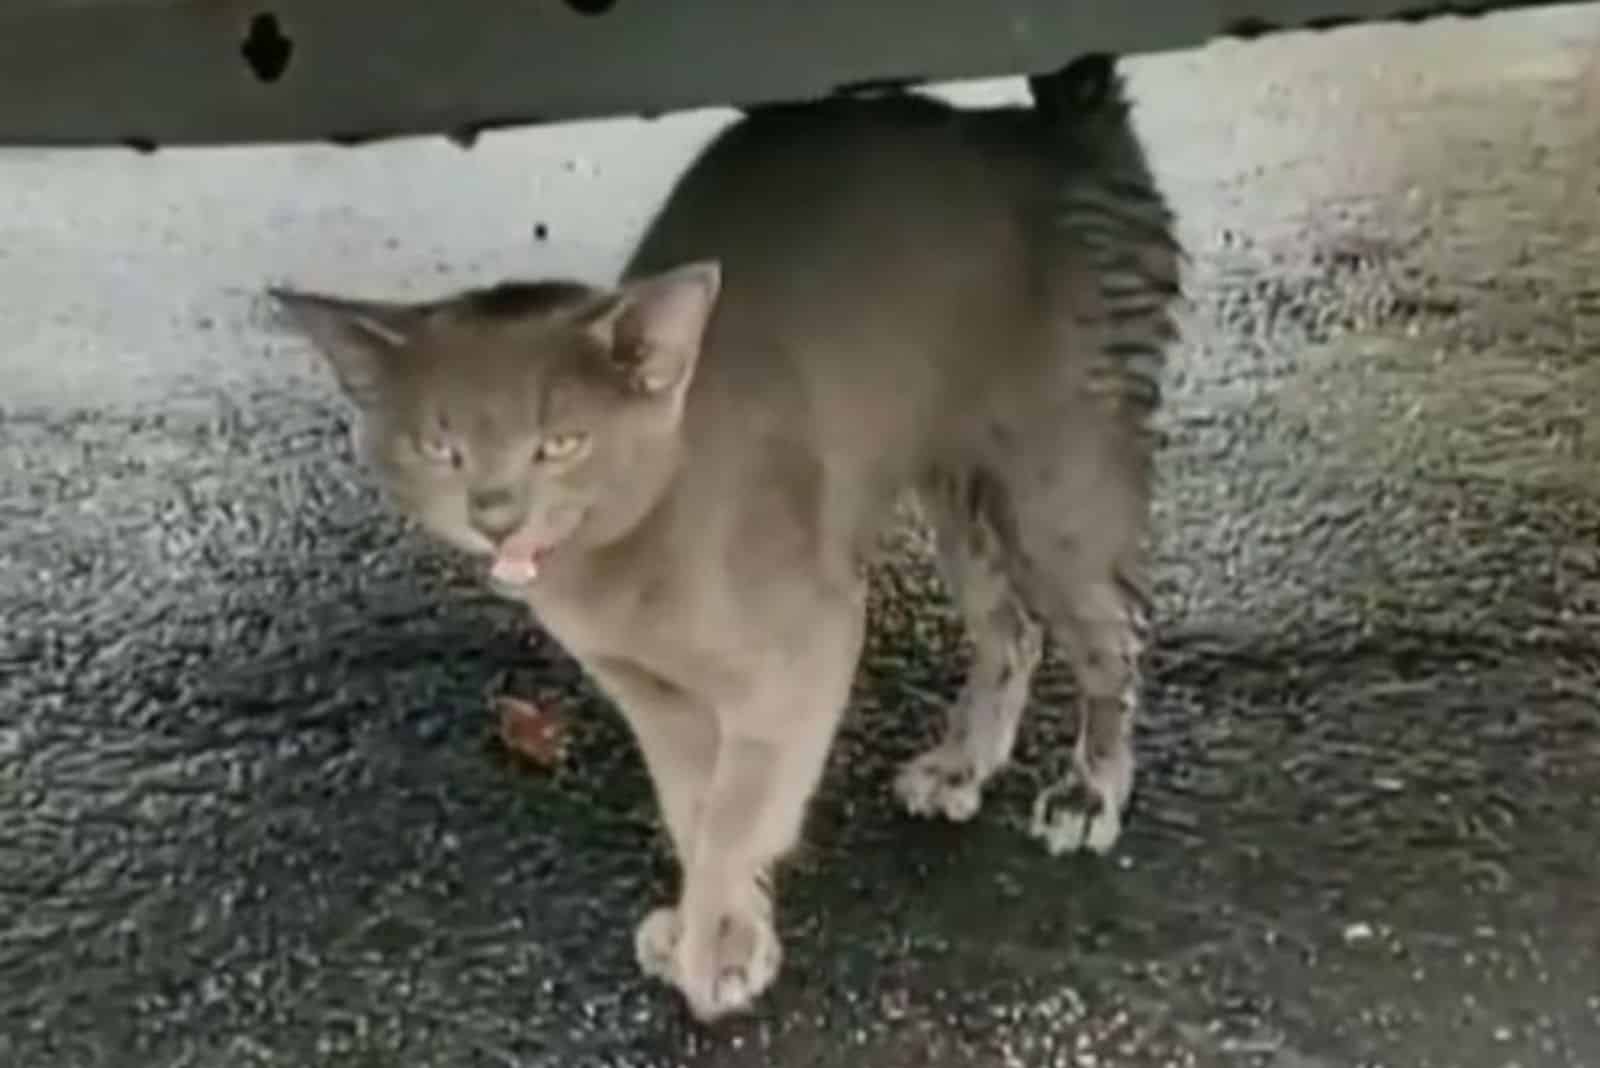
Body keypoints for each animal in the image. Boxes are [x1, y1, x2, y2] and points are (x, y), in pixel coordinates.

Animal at [272, 54, 1177, 1023]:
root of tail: (1053, 131)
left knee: (1110, 631)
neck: (628, 569)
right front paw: (715, 925)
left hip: (1057, 470)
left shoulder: (811, 641)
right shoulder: (644, 689)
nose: (495, 510)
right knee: (1012, 628)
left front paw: (717, 945)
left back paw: (1088, 789)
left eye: (560, 443)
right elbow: (690, 801)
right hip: (954, 478)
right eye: (441, 448)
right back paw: (962, 764)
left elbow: (741, 806)